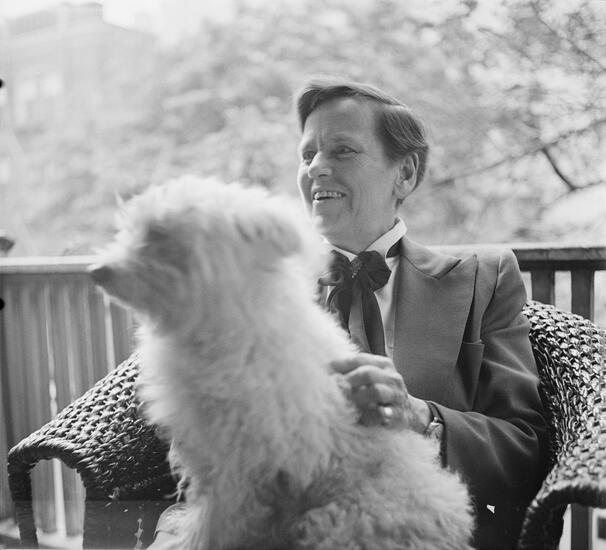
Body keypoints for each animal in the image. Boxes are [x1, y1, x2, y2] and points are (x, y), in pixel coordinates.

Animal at [89, 176, 474, 550]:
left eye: (159, 235)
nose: (96, 270)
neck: (225, 319)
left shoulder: (241, 462)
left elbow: (217, 519)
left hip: (339, 517)